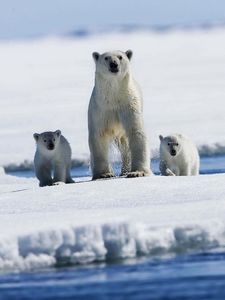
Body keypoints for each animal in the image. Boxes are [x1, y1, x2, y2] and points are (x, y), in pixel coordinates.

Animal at [88, 49, 151, 179]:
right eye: (106, 58)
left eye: (120, 57)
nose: (114, 64)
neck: (114, 97)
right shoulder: (100, 109)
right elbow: (98, 136)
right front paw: (104, 174)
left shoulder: (129, 105)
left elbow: (136, 132)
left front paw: (137, 172)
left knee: (126, 147)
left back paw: (125, 170)